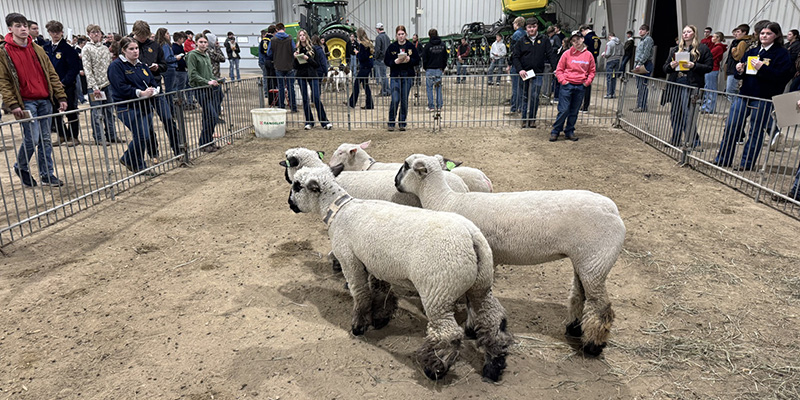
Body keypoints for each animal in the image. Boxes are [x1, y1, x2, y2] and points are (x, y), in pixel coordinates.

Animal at [287, 166, 513, 381]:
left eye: (297, 186)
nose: (290, 203)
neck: (340, 211)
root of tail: (472, 237)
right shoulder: (377, 264)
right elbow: (380, 292)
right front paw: (380, 318)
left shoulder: (350, 261)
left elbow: (361, 294)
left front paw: (358, 327)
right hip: (481, 286)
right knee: (493, 319)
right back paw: (494, 366)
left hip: (438, 292)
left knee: (448, 334)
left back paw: (435, 368)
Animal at [395, 154, 626, 357]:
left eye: (405, 165)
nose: (395, 183)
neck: (445, 201)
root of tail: (614, 211)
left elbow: (472, 300)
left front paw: (471, 329)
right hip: (584, 260)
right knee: (581, 294)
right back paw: (574, 329)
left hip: (596, 261)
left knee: (600, 307)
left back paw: (593, 346)